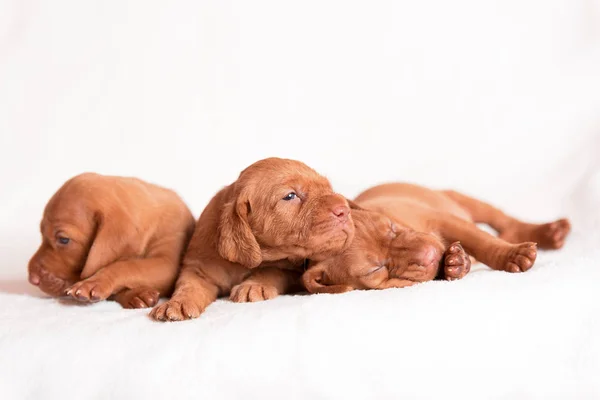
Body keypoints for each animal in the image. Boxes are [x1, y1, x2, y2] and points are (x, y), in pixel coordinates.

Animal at [28, 173, 195, 308]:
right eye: (42, 233)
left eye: (63, 240)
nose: (32, 279)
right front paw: (135, 294)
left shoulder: (169, 262)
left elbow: (128, 266)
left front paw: (92, 283)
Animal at [151, 157, 356, 322]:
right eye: (290, 195)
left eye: (329, 189)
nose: (344, 209)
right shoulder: (197, 268)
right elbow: (188, 285)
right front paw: (176, 303)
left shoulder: (292, 271)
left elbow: (272, 270)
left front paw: (253, 286)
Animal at [302, 184, 568, 294]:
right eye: (376, 270)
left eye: (391, 227)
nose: (431, 254)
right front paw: (456, 264)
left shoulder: (443, 219)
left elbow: (482, 242)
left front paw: (513, 255)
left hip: (461, 200)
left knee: (505, 223)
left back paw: (550, 232)